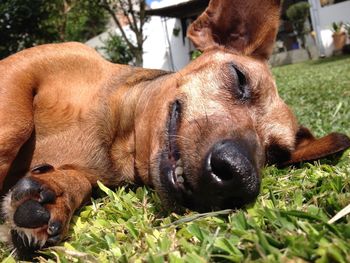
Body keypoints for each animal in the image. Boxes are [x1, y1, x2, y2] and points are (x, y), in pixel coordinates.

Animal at [0, 0, 350, 258]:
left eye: (276, 153)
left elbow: (79, 181)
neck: (113, 141)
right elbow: (16, 128)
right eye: (240, 78)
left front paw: (55, 195)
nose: (240, 178)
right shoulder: (20, 71)